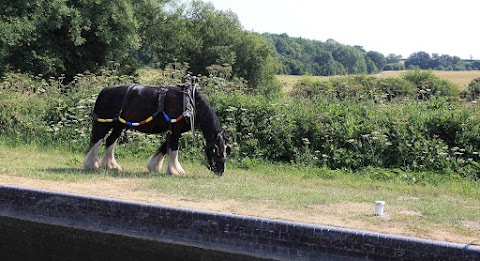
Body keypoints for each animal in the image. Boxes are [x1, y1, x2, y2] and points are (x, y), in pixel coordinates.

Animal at [83, 82, 232, 176]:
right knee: (97, 140)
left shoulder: (174, 130)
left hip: (119, 125)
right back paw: (91, 165)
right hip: (104, 124)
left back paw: (111, 165)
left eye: (227, 150)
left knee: (110, 141)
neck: (188, 102)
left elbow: (165, 147)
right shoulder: (175, 130)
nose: (221, 170)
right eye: (215, 149)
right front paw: (175, 171)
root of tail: (104, 91)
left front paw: (154, 166)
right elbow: (173, 149)